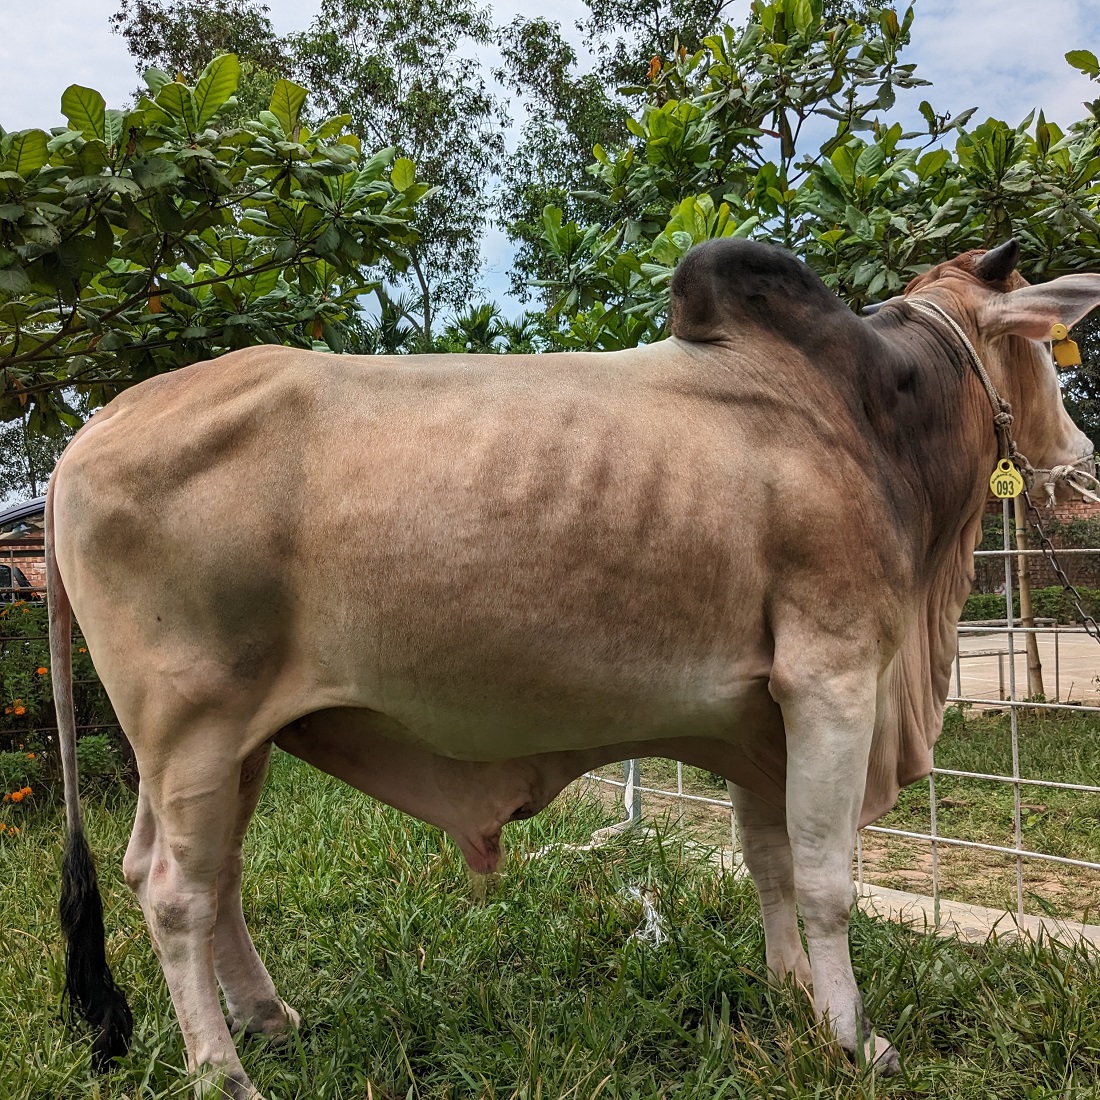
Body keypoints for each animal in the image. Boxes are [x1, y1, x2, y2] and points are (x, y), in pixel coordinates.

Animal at [47, 236, 1100, 1095]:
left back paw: (267, 1019)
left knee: (198, 874)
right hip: (192, 729)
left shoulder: (762, 715)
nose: (1081, 453)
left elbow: (767, 861)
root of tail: (92, 430)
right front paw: (853, 1037)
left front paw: (790, 989)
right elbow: (824, 879)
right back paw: (222, 1070)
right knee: (177, 894)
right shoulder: (832, 682)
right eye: (1051, 347)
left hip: (235, 743)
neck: (870, 418)